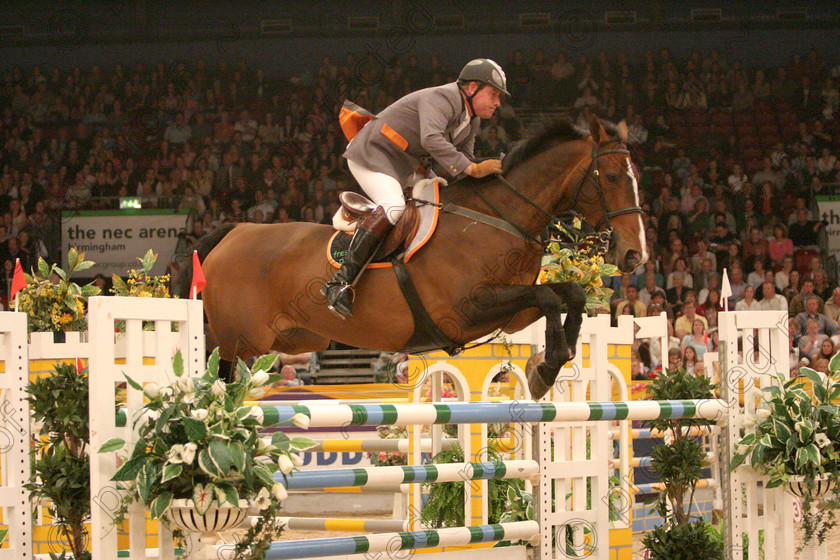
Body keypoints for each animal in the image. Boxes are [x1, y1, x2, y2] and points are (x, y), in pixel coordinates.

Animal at [179, 116, 648, 400]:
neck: (500, 217)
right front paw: (547, 367)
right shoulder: (468, 309)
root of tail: (234, 231)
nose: (634, 255)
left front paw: (548, 363)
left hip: (290, 341)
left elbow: (568, 294)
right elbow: (551, 297)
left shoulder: (512, 313)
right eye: (610, 177)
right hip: (239, 341)